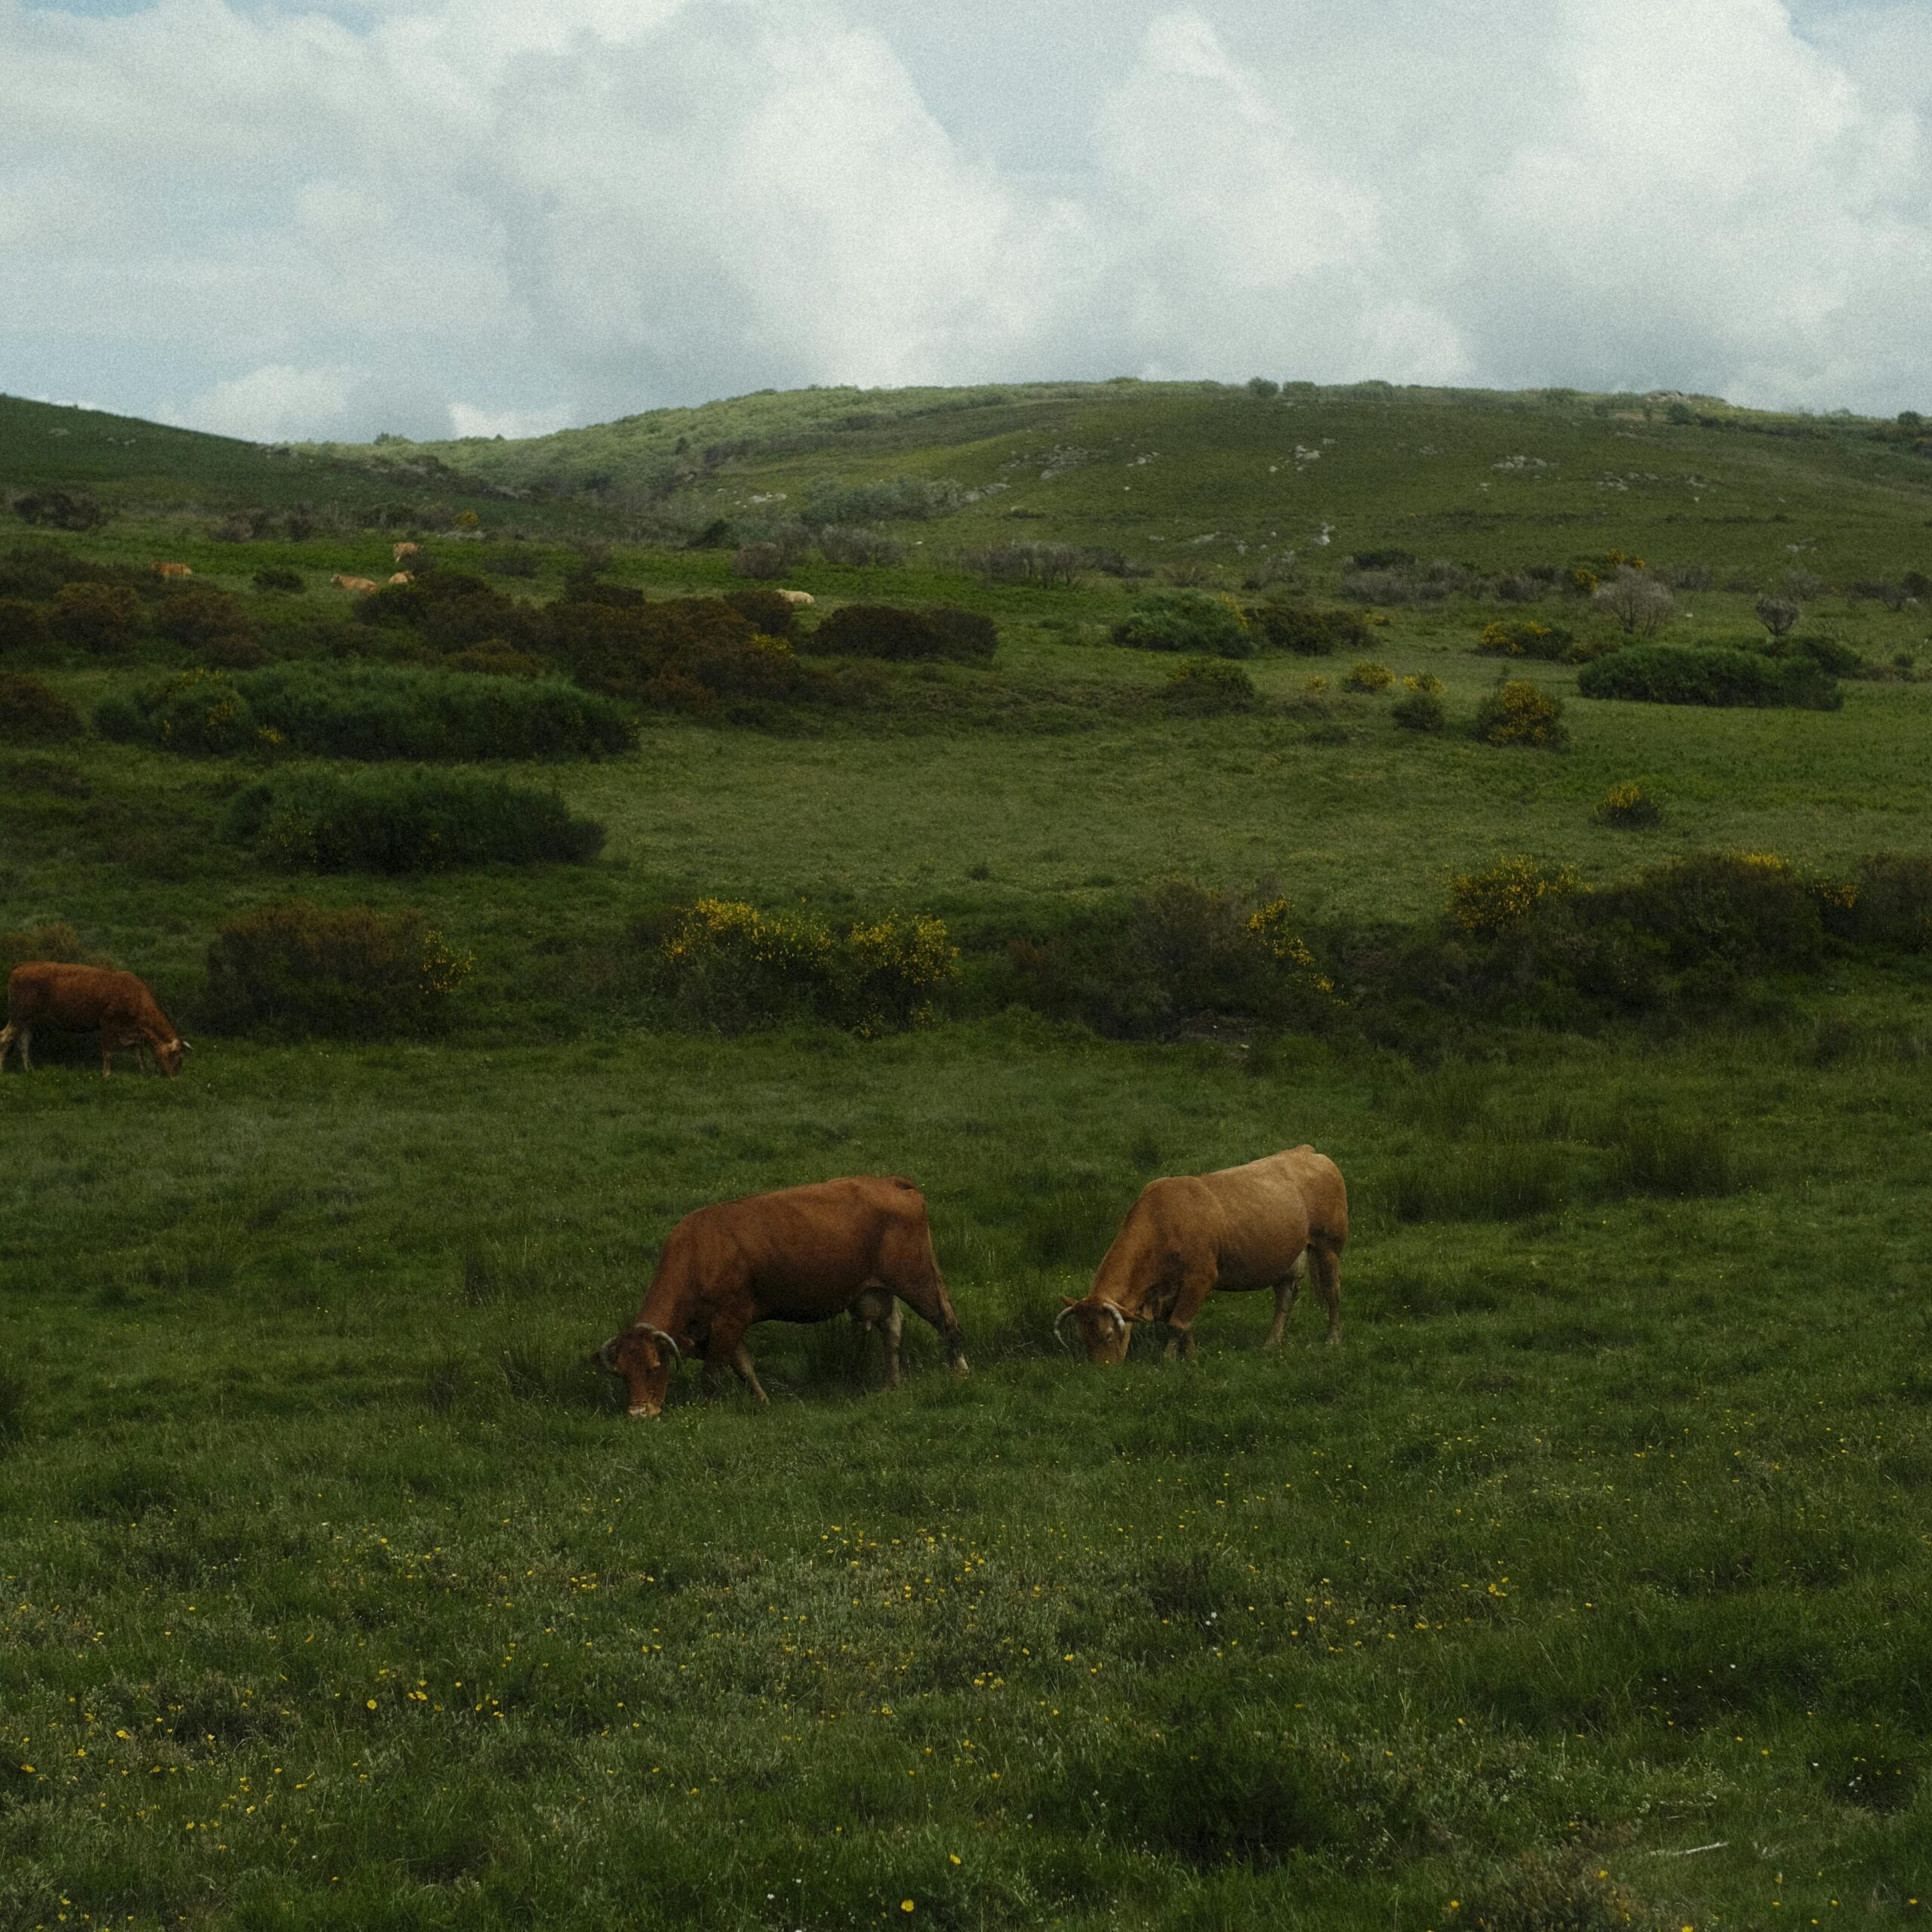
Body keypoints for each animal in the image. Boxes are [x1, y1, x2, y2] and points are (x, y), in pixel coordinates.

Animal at [0, 963, 191, 1079]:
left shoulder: (132, 1031)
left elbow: (139, 1053)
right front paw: (106, 1075)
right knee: (5, 1037)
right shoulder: (108, 1023)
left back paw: (29, 1069)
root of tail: (21, 967)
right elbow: (108, 1052)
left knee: (23, 1041)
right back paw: (3, 1069)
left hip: (28, 1019)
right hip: (19, 1014)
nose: (175, 1078)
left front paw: (144, 1072)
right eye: (177, 1057)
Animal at [594, 1176, 969, 1418]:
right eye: (623, 1375)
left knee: (945, 1322)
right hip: (878, 1290)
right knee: (892, 1327)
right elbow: (744, 1366)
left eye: (655, 1367)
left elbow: (714, 1372)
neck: (700, 1252)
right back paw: (891, 1385)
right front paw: (762, 1402)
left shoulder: (730, 1320)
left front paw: (709, 1409)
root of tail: (891, 1182)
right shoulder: (719, 1329)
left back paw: (959, 1372)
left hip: (916, 1280)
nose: (639, 1413)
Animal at [1056, 1147, 1347, 1365]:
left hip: (1328, 1247)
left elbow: (1178, 1323)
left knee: (1332, 1292)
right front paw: (1189, 1356)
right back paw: (1270, 1343)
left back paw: (1332, 1338)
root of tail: (1306, 1152)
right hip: (1289, 1259)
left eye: (1107, 1335)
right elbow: (1182, 1325)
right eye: (1082, 1337)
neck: (1162, 1220)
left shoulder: (1201, 1278)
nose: (1103, 1371)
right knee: (1285, 1299)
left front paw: (1171, 1359)